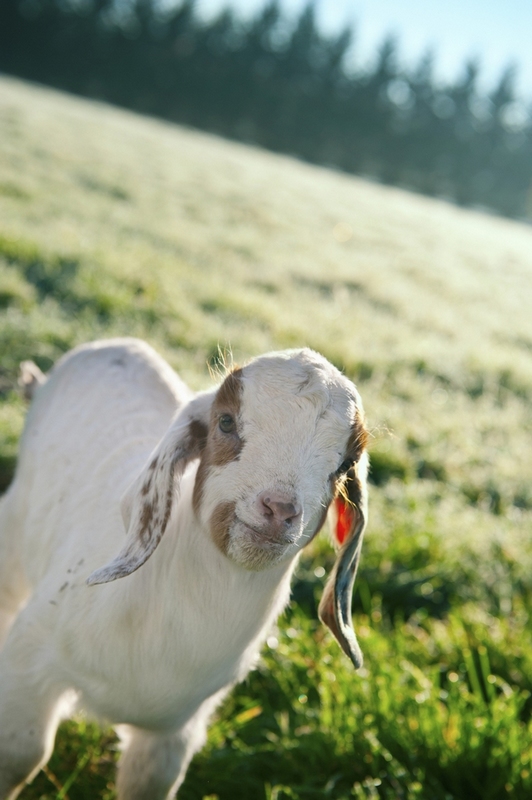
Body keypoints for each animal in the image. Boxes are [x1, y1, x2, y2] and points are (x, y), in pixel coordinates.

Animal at [0, 340, 368, 800]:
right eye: (225, 421)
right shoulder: (30, 656)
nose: (280, 510)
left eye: (347, 463)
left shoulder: (174, 734)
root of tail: (115, 344)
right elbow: (21, 754)